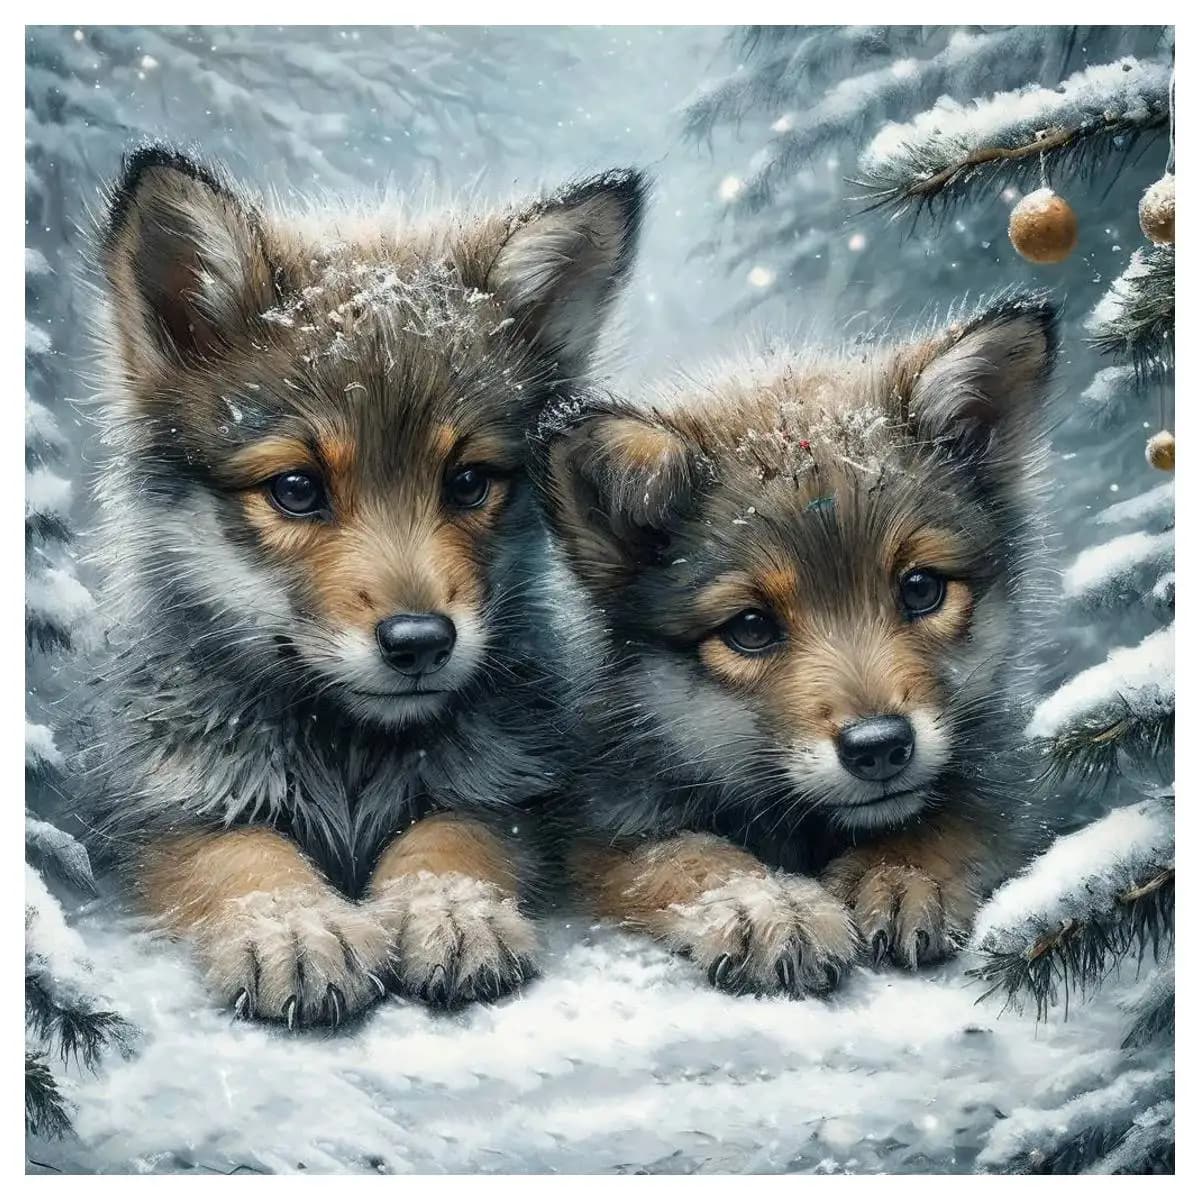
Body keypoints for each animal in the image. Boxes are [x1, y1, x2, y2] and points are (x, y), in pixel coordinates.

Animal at [88, 145, 644, 1025]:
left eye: (468, 482)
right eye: (296, 490)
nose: (420, 643)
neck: (348, 758)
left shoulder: (509, 791)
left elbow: (451, 837)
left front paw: (449, 909)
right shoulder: (168, 810)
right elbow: (246, 857)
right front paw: (293, 929)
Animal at [537, 297, 1056, 996]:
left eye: (921, 589)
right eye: (752, 629)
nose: (879, 748)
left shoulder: (1008, 774)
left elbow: (959, 813)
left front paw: (900, 872)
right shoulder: (601, 822)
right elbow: (684, 854)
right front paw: (767, 902)